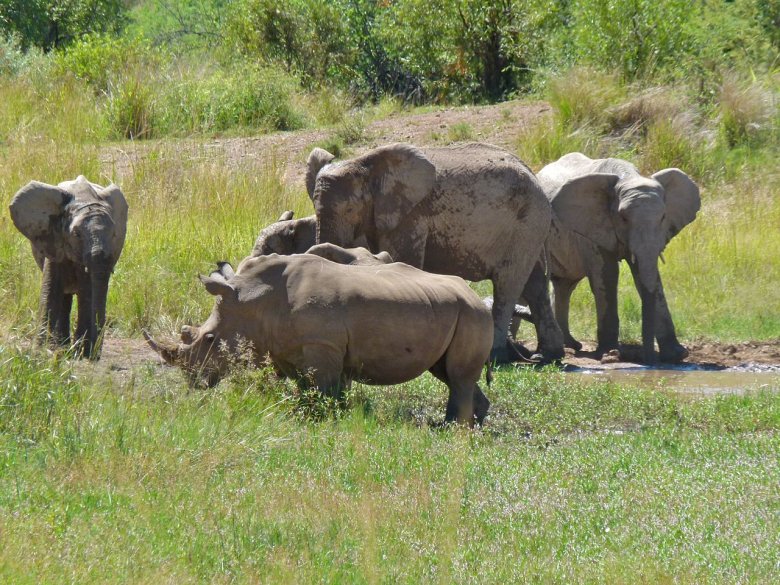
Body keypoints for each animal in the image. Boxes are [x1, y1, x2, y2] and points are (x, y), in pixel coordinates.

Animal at [9, 175, 129, 356]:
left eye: (115, 234)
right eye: (76, 234)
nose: (95, 355)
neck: (84, 198)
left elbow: (87, 291)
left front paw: (83, 353)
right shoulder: (54, 237)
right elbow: (51, 289)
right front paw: (41, 352)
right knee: (64, 295)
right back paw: (61, 346)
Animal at [143, 248, 490, 424]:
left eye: (210, 339)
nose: (193, 381)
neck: (255, 300)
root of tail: (475, 295)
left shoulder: (321, 345)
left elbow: (323, 390)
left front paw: (324, 421)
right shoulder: (286, 347)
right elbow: (305, 388)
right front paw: (305, 415)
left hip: (471, 314)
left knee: (458, 376)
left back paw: (451, 429)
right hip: (452, 310)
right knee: (448, 373)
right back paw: (468, 425)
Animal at [306, 142, 568, 362]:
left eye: (351, 209)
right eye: (313, 206)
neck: (366, 163)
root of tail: (536, 178)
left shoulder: (412, 215)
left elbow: (403, 260)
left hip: (525, 223)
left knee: (508, 284)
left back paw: (496, 355)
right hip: (530, 228)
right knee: (535, 285)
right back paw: (549, 355)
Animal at [536, 153, 700, 362]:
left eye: (663, 216)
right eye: (623, 218)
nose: (649, 359)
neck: (627, 176)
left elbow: (646, 275)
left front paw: (676, 355)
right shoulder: (592, 227)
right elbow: (607, 276)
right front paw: (609, 353)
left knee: (564, 285)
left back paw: (572, 344)